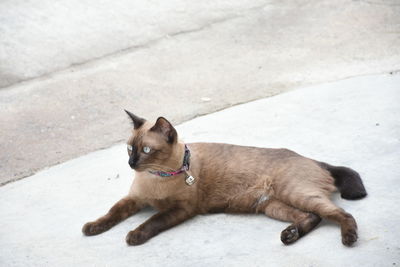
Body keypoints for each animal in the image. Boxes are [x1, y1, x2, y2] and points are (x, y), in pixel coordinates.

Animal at [83, 111, 368, 247]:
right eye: (129, 149)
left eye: (145, 150)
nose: (131, 164)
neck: (157, 176)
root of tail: (313, 159)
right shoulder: (133, 199)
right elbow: (111, 213)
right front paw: (91, 228)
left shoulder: (180, 209)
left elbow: (153, 221)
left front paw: (134, 236)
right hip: (273, 206)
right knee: (312, 217)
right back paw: (289, 235)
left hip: (294, 194)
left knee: (341, 214)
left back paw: (348, 239)